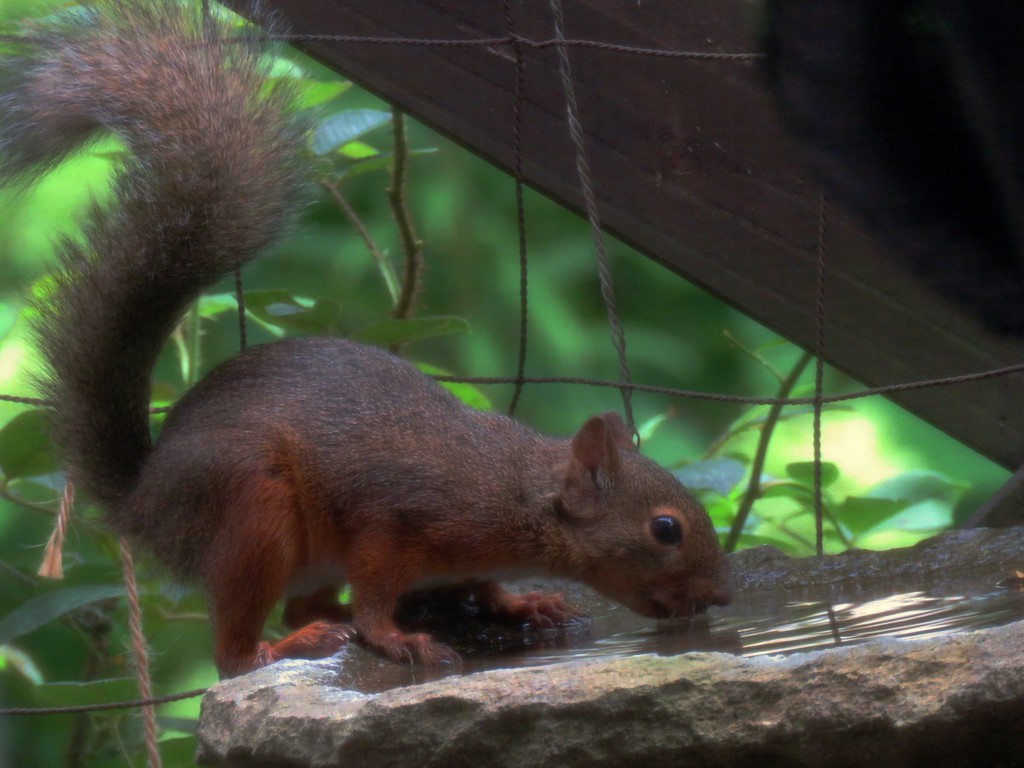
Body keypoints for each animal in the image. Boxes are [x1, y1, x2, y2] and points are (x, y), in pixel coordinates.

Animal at [4, 3, 733, 684]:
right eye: (665, 529)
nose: (722, 597)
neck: (516, 494)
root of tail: (144, 504)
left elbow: (481, 583)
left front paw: (522, 601)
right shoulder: (394, 521)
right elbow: (378, 591)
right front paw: (399, 638)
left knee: (301, 604)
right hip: (253, 513)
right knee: (236, 654)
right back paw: (292, 645)